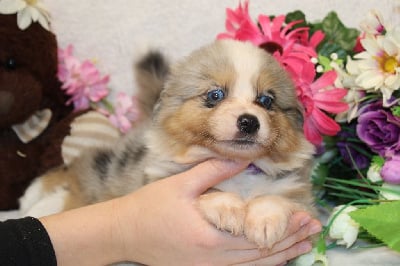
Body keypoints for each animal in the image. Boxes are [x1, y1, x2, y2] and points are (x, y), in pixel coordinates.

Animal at [25, 40, 316, 249]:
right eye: (215, 95)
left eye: (266, 101)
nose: (249, 122)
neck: (241, 170)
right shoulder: (162, 180)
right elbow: (210, 190)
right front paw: (227, 207)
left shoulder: (302, 196)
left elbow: (279, 197)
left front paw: (265, 221)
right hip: (111, 165)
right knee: (78, 168)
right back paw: (36, 197)